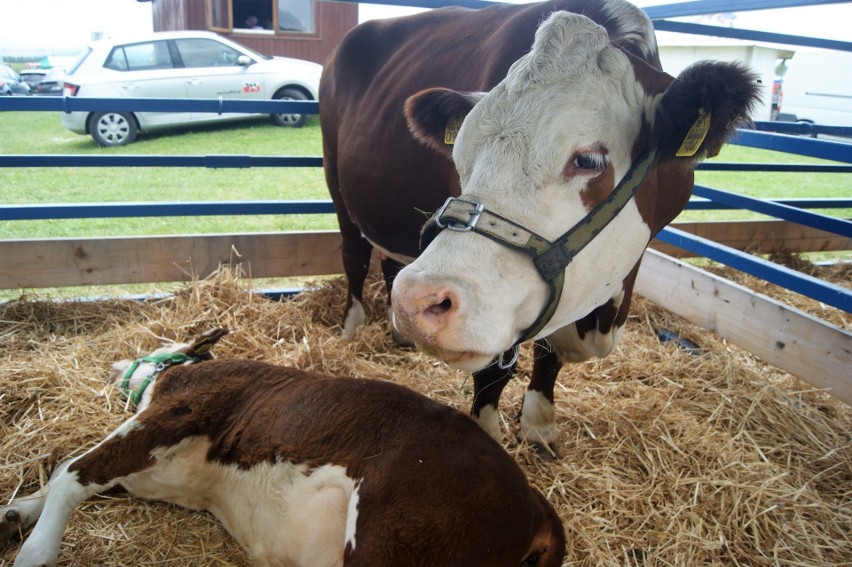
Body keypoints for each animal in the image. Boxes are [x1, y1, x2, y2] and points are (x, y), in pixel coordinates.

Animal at [0, 328, 564, 567]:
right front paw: (15, 512)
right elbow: (72, 474)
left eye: (155, 346)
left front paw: (35, 552)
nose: (116, 363)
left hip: (397, 539)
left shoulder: (175, 413)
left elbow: (73, 472)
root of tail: (534, 502)